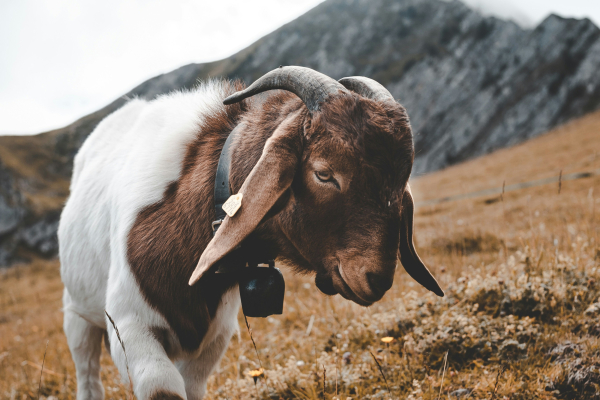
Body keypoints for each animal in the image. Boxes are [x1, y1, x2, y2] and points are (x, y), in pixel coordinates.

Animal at [59, 66, 440, 400]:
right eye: (324, 173)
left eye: (400, 180)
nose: (376, 278)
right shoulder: (129, 326)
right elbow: (162, 388)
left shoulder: (215, 337)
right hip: (78, 317)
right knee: (88, 375)